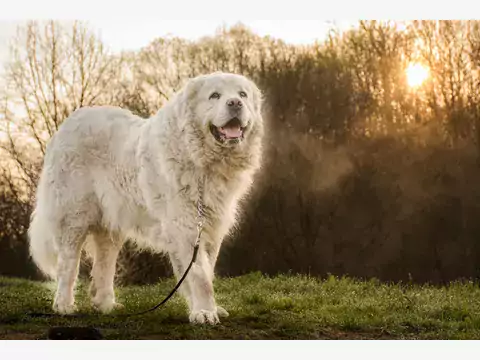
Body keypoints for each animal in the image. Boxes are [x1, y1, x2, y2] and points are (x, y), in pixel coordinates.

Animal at [28, 71, 264, 324]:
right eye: (215, 96)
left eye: (242, 94)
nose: (235, 103)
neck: (201, 159)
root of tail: (67, 124)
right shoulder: (187, 225)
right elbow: (200, 275)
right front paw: (204, 312)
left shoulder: (210, 226)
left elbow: (205, 270)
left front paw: (205, 309)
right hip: (74, 218)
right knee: (68, 264)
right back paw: (63, 305)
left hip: (111, 224)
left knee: (104, 263)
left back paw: (105, 305)